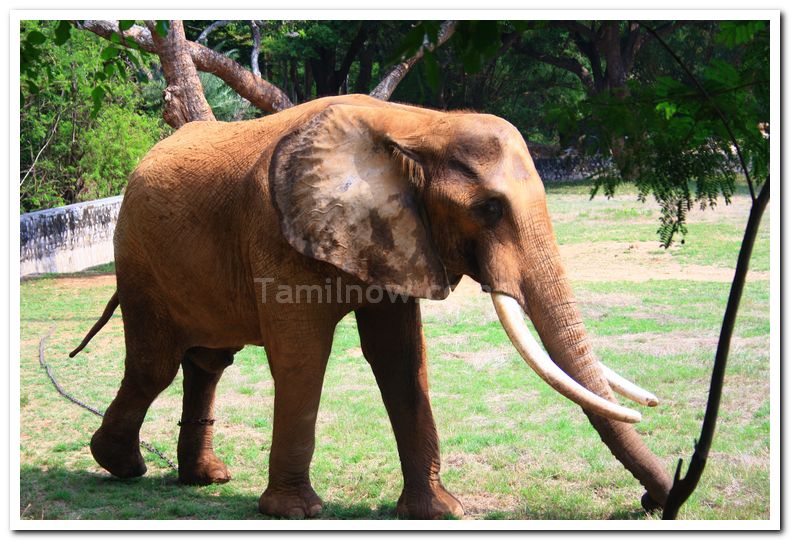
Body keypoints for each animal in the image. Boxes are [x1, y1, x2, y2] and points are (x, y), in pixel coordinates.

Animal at [71, 94, 672, 520]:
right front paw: (295, 513)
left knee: (208, 361)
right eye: (489, 209)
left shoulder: (401, 237)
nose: (655, 503)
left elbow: (401, 358)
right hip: (139, 258)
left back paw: (206, 478)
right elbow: (303, 357)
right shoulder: (278, 234)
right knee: (155, 364)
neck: (418, 125)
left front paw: (440, 512)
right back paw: (121, 465)